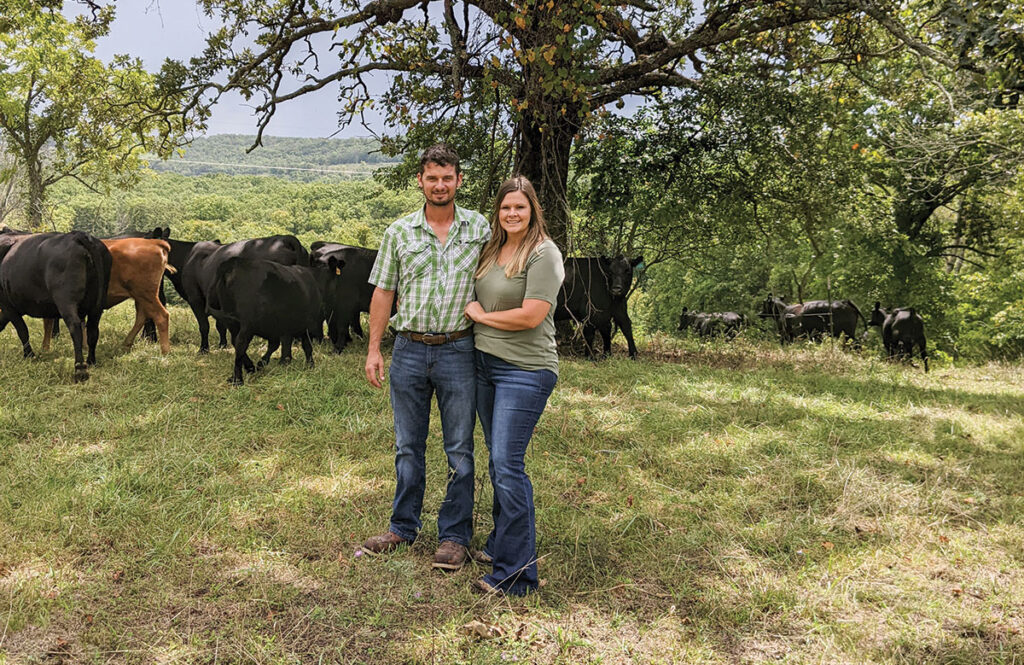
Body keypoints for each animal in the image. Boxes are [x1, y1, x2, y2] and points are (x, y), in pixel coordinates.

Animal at [0, 230, 112, 381]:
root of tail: (77, 235)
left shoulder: (7, 305)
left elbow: (22, 330)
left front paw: (29, 356)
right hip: (97, 305)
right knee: (93, 330)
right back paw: (91, 361)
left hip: (65, 300)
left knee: (75, 327)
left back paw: (80, 370)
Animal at [43, 237, 176, 352]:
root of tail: (154, 242)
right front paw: (84, 347)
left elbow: (48, 323)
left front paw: (45, 349)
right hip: (140, 295)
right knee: (142, 316)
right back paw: (126, 344)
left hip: (145, 293)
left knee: (161, 316)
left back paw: (165, 351)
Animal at [179, 234, 307, 352]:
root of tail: (284, 238)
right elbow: (221, 325)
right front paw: (222, 345)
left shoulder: (195, 298)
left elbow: (205, 326)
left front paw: (204, 349)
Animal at [206, 257, 344, 387]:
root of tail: (233, 262)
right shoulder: (306, 324)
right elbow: (306, 346)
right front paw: (309, 365)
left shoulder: (281, 326)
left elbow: (278, 345)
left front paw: (266, 363)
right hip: (247, 324)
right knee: (240, 344)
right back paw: (238, 379)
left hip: (233, 322)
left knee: (235, 341)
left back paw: (249, 368)